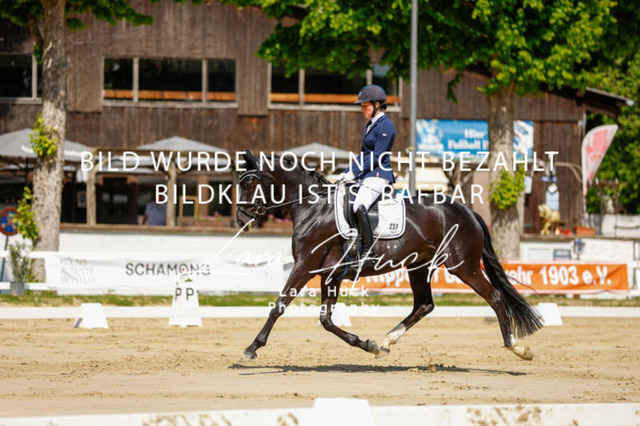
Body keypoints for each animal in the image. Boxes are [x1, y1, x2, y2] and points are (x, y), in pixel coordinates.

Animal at [236, 151, 543, 361]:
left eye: (249, 183)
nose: (241, 218)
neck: (312, 206)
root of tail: (467, 211)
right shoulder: (329, 274)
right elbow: (326, 320)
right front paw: (367, 345)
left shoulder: (305, 266)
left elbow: (279, 305)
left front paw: (252, 348)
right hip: (419, 266)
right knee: (424, 305)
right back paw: (385, 341)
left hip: (463, 266)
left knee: (496, 298)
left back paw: (517, 348)